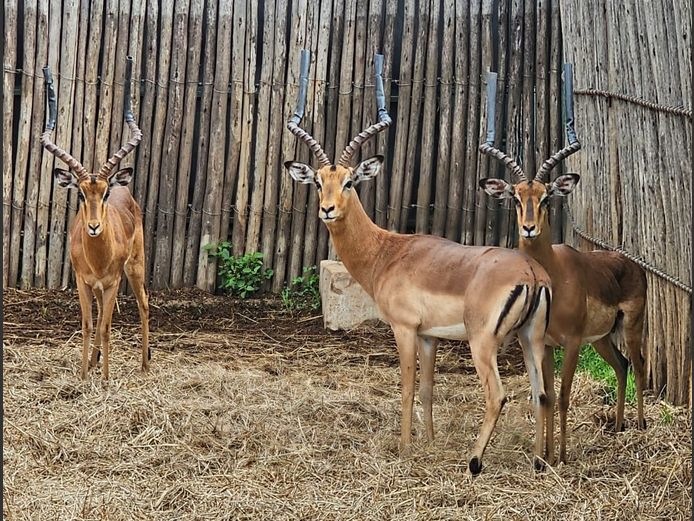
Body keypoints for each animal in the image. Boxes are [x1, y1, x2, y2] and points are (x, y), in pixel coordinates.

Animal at [41, 57, 150, 381]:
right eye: (80, 193)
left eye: (104, 193)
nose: (93, 227)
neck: (98, 257)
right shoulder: (83, 282)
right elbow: (90, 326)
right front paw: (83, 374)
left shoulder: (113, 282)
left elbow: (106, 327)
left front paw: (105, 379)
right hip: (101, 287)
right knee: (103, 315)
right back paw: (94, 362)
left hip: (135, 267)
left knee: (144, 303)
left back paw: (145, 365)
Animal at [284, 50, 554, 474]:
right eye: (317, 181)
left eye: (349, 181)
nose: (328, 210)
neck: (388, 251)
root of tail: (530, 273)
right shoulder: (430, 335)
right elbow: (428, 388)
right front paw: (427, 441)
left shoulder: (405, 328)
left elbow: (408, 387)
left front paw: (405, 448)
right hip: (531, 338)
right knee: (541, 393)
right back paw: (539, 461)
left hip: (483, 343)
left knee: (498, 395)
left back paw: (474, 462)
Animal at [479, 66, 647, 464]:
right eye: (515, 196)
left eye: (545, 197)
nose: (529, 228)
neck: (554, 273)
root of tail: (631, 264)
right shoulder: (546, 343)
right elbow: (547, 396)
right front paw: (545, 456)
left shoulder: (570, 343)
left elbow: (566, 395)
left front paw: (563, 455)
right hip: (602, 339)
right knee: (622, 365)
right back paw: (618, 426)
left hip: (630, 327)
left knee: (639, 366)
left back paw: (640, 426)